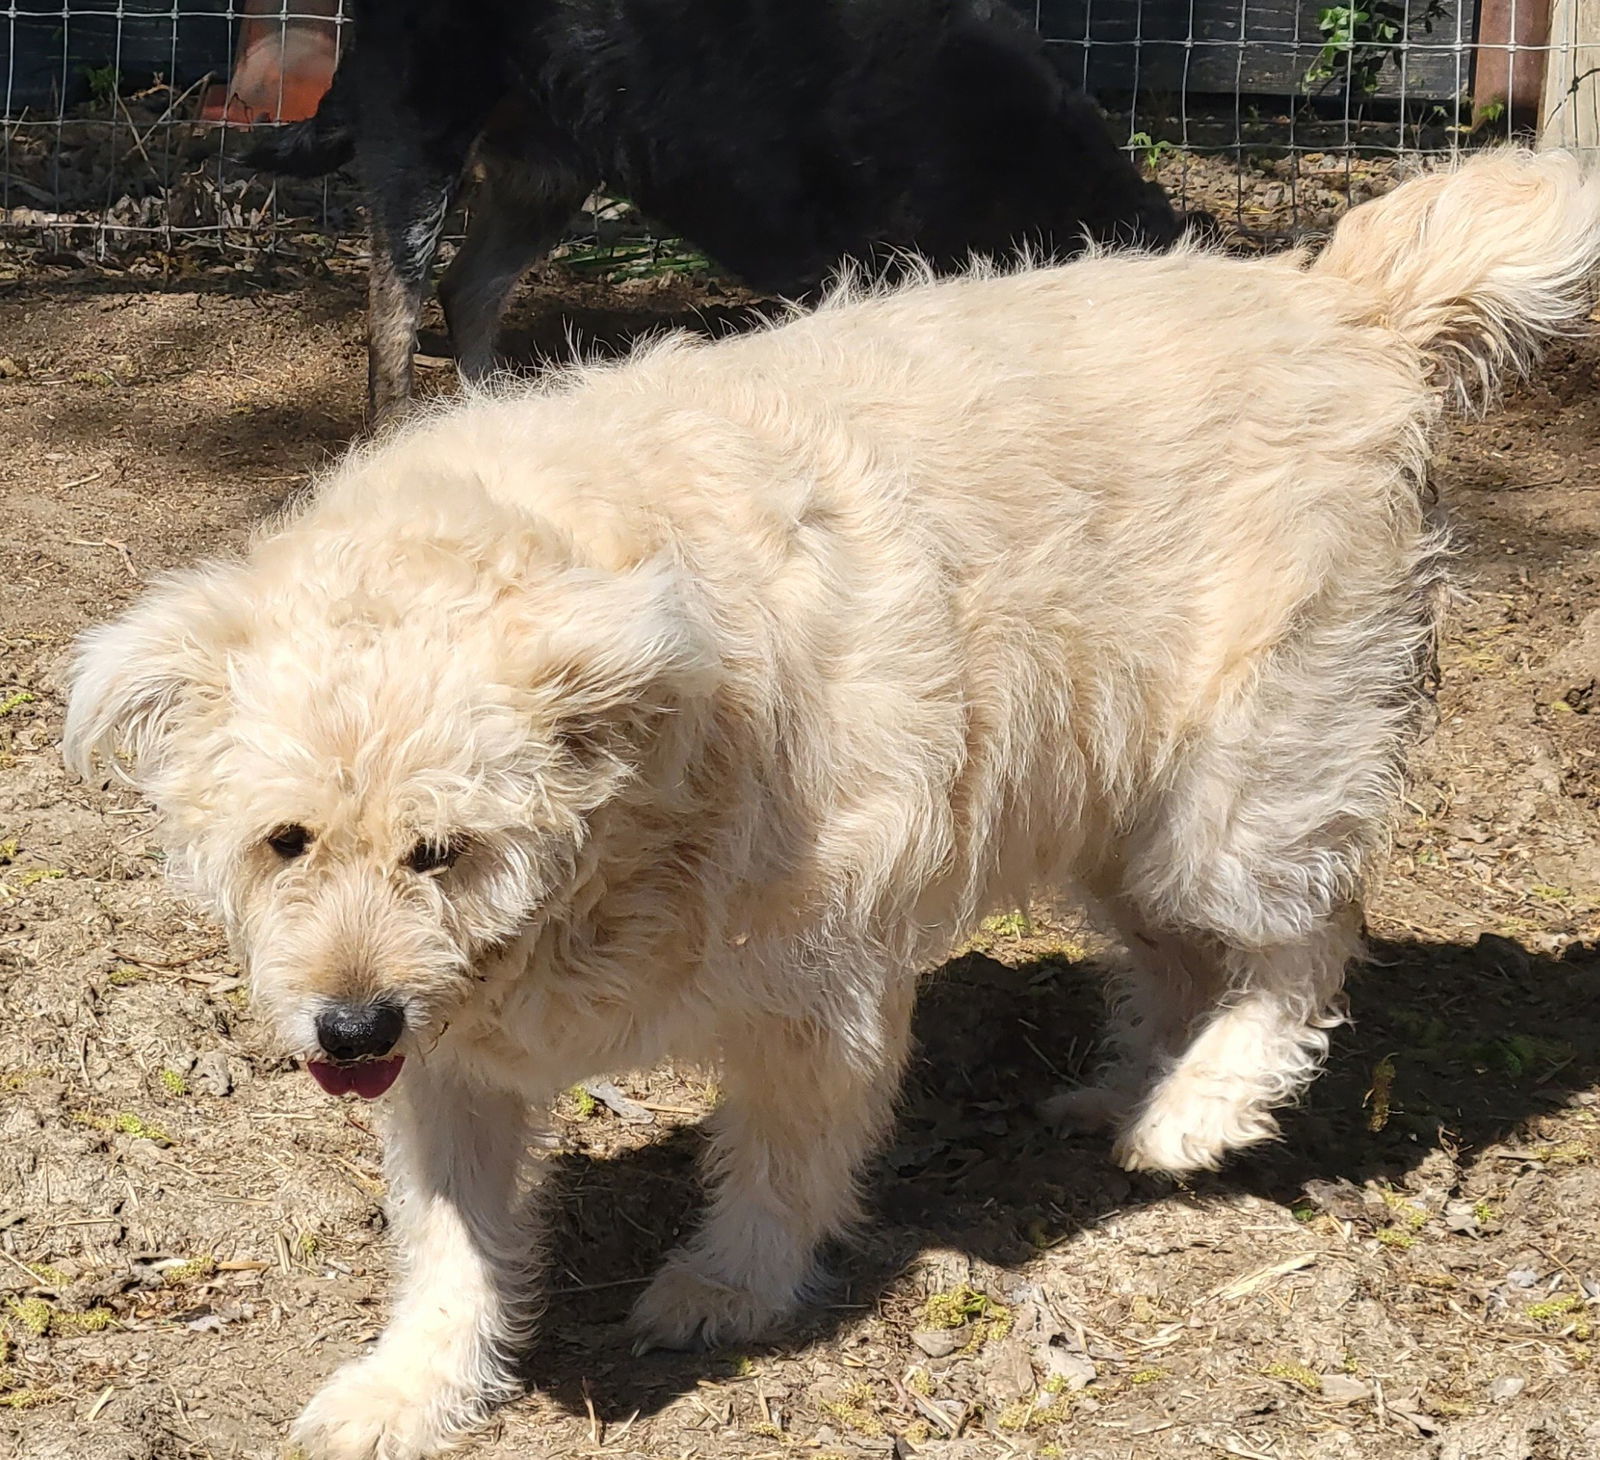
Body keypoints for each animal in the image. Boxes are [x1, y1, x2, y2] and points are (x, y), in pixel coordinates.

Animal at [68, 151, 1600, 1460]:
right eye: (287, 842)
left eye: (445, 851)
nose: (345, 1030)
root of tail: (1335, 302)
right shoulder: (453, 1054)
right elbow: (451, 1241)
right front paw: (410, 1388)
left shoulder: (823, 993)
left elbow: (780, 1164)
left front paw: (725, 1292)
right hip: (1114, 810)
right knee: (1179, 956)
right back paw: (1132, 1087)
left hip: (1233, 797)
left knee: (1309, 942)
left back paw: (1200, 1109)